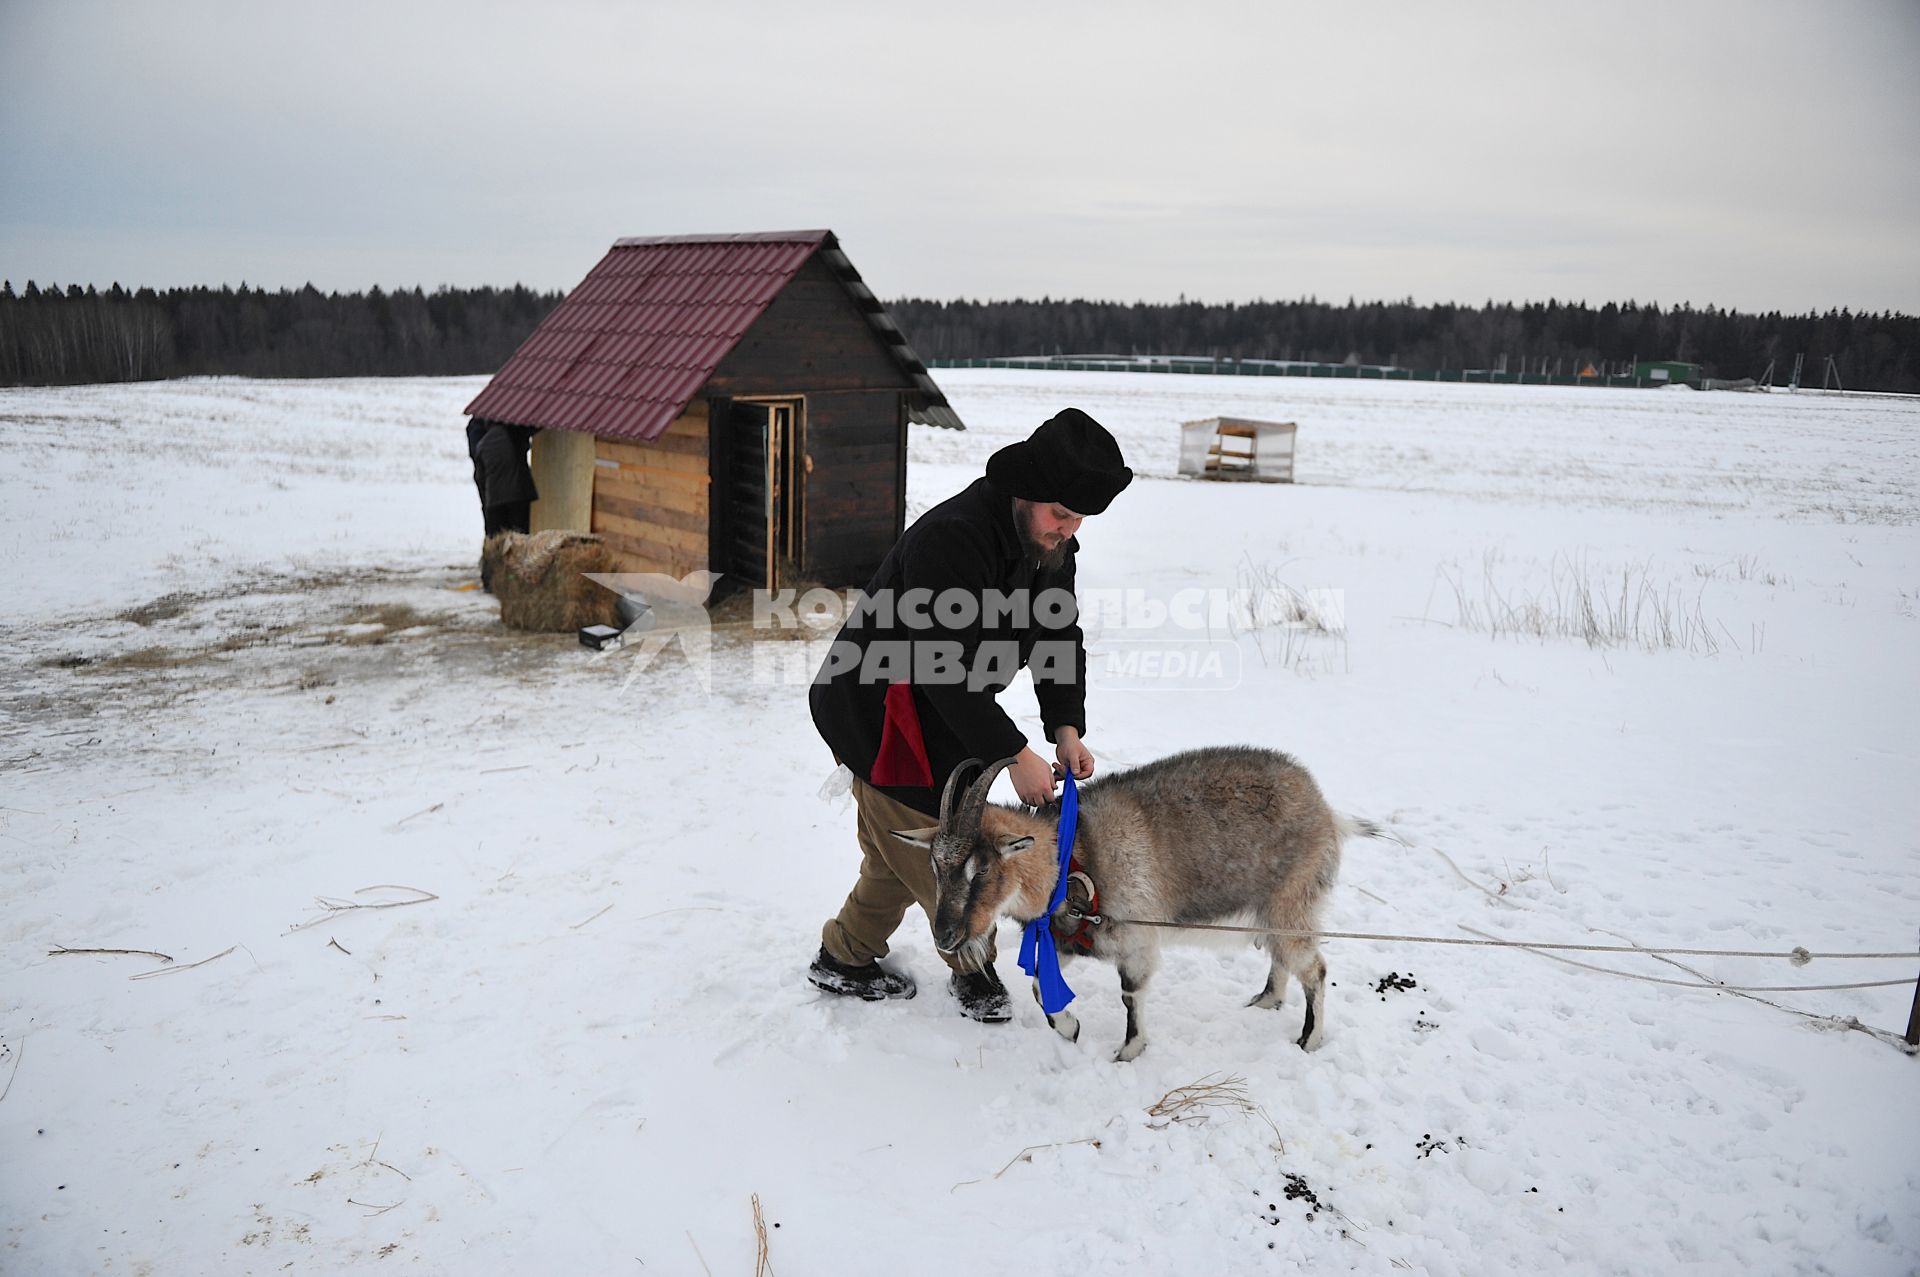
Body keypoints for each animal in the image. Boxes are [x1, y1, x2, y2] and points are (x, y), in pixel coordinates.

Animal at [890, 741, 1374, 1060]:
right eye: (935, 866)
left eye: (982, 868)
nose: (946, 936)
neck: (1074, 858)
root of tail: (1326, 811)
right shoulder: (1067, 942)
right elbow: (1040, 987)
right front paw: (1070, 1029)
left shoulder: (1137, 941)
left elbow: (1130, 994)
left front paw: (1129, 1050)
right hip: (1272, 910)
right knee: (1281, 957)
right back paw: (1267, 1000)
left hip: (1292, 901)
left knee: (1314, 969)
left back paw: (1309, 1041)